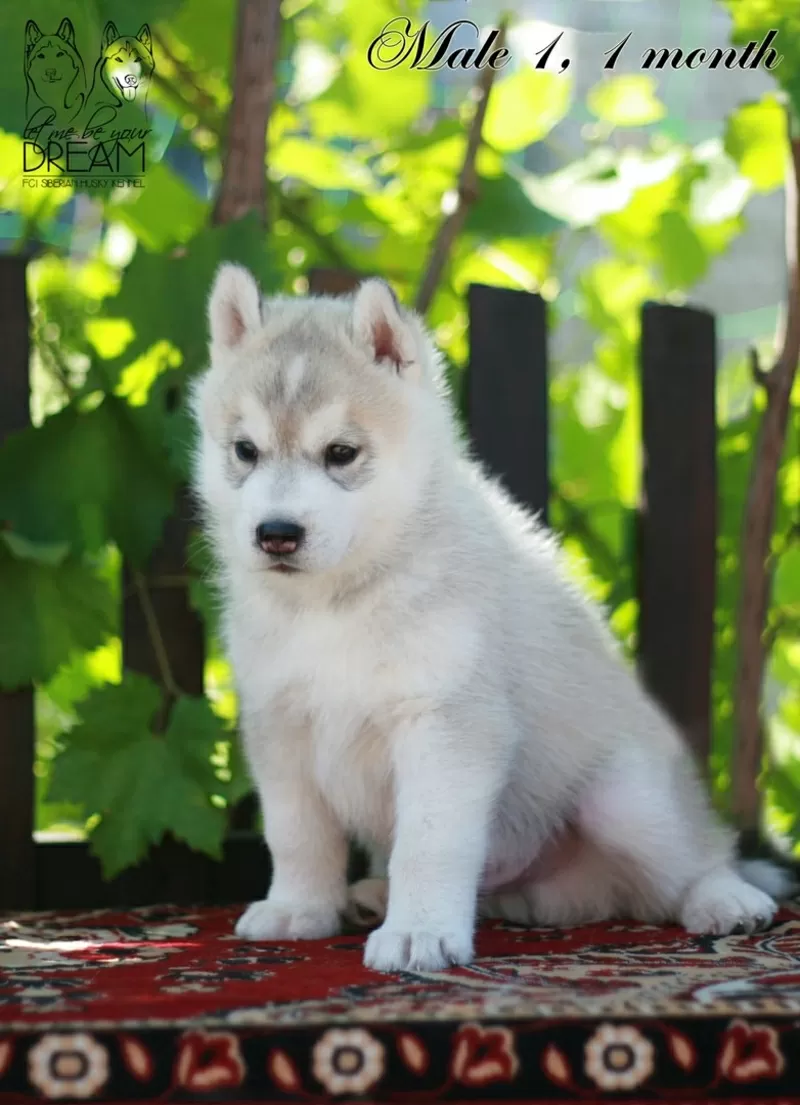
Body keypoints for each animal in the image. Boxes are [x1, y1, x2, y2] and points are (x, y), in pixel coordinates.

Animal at [191, 267, 791, 976]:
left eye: (341, 452)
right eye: (245, 451)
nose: (276, 533)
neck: (337, 604)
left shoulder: (446, 721)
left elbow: (428, 842)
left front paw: (417, 932)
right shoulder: (279, 724)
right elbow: (295, 833)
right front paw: (299, 909)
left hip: (627, 798)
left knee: (698, 857)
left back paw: (727, 899)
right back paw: (373, 895)